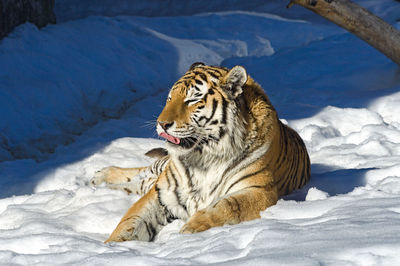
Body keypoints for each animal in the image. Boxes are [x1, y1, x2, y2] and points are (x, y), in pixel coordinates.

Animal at [92, 62, 310, 243]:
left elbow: (228, 206)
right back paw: (98, 178)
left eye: (191, 100)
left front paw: (190, 228)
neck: (204, 157)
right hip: (158, 172)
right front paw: (112, 245)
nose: (161, 124)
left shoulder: (260, 191)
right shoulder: (162, 192)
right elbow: (131, 221)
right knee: (141, 174)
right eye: (169, 98)